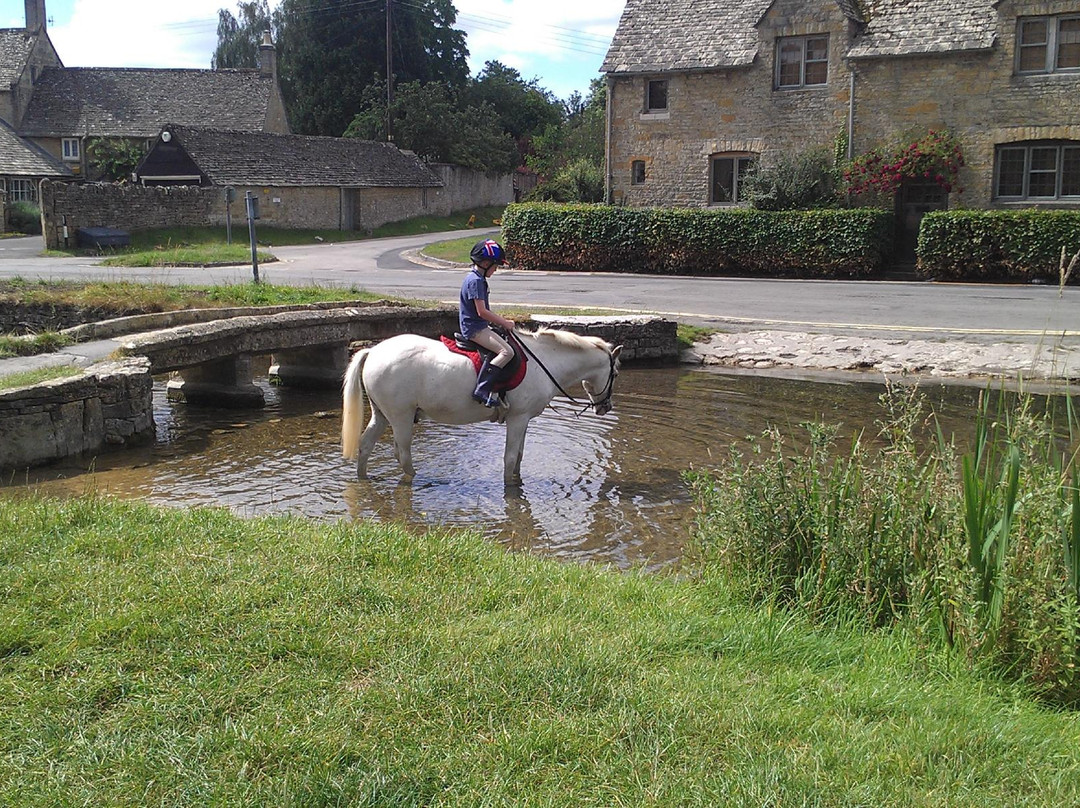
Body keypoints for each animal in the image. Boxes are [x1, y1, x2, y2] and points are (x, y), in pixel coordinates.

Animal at [341, 330, 622, 486]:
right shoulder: (518, 418)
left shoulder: (524, 420)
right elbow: (510, 458)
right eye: (616, 374)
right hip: (400, 416)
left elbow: (519, 456)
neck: (545, 361)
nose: (605, 407)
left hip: (382, 414)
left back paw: (363, 478)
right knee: (403, 454)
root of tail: (373, 351)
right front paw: (510, 488)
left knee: (366, 445)